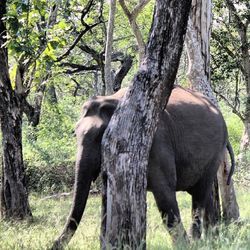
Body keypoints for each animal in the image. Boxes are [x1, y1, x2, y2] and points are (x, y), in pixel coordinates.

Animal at [52, 85, 234, 248]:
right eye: (74, 134)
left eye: (99, 136)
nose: (53, 244)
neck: (114, 99)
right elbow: (107, 198)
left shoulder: (156, 141)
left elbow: (164, 193)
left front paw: (185, 246)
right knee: (204, 194)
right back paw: (212, 239)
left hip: (215, 152)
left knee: (199, 194)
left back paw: (198, 241)